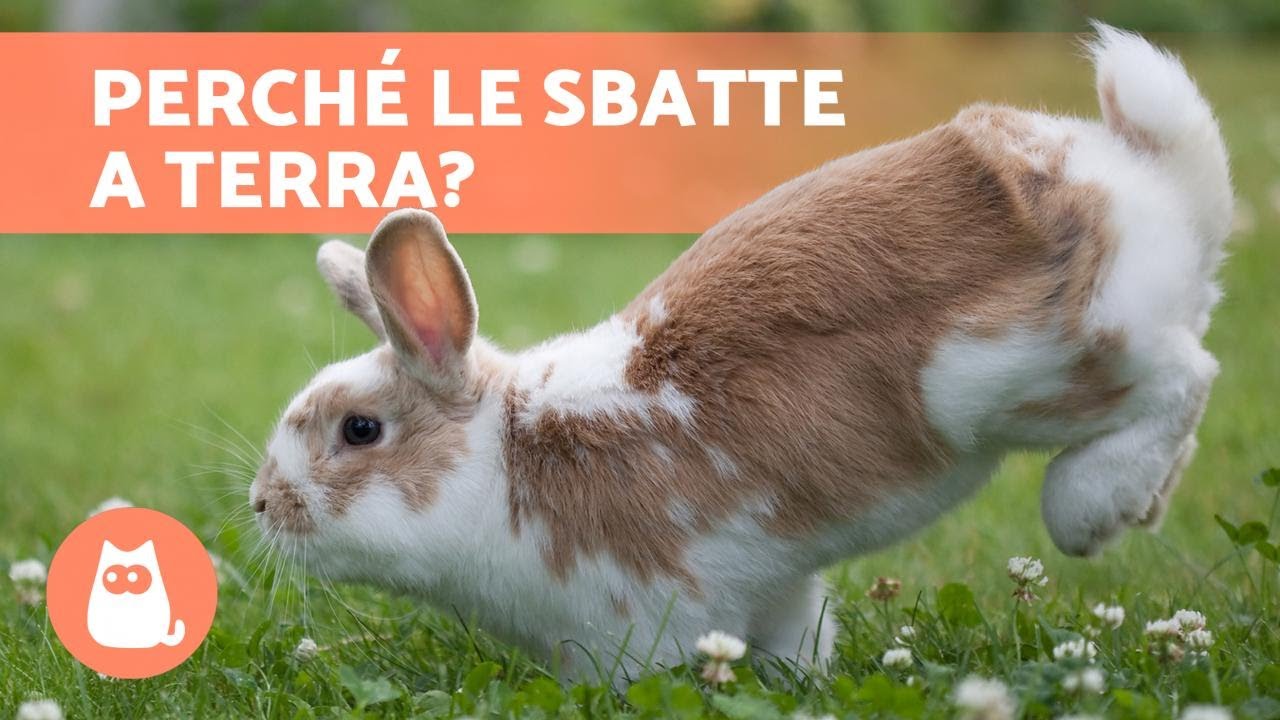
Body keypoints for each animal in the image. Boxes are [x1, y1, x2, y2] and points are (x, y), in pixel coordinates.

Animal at [250, 25, 1231, 683]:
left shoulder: (635, 624)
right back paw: (1138, 506)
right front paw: (805, 683)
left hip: (1031, 372)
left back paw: (1092, 509)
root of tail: (1145, 177)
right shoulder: (773, 589)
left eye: (360, 431)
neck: (506, 455)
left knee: (1186, 377)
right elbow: (797, 639)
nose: (262, 504)